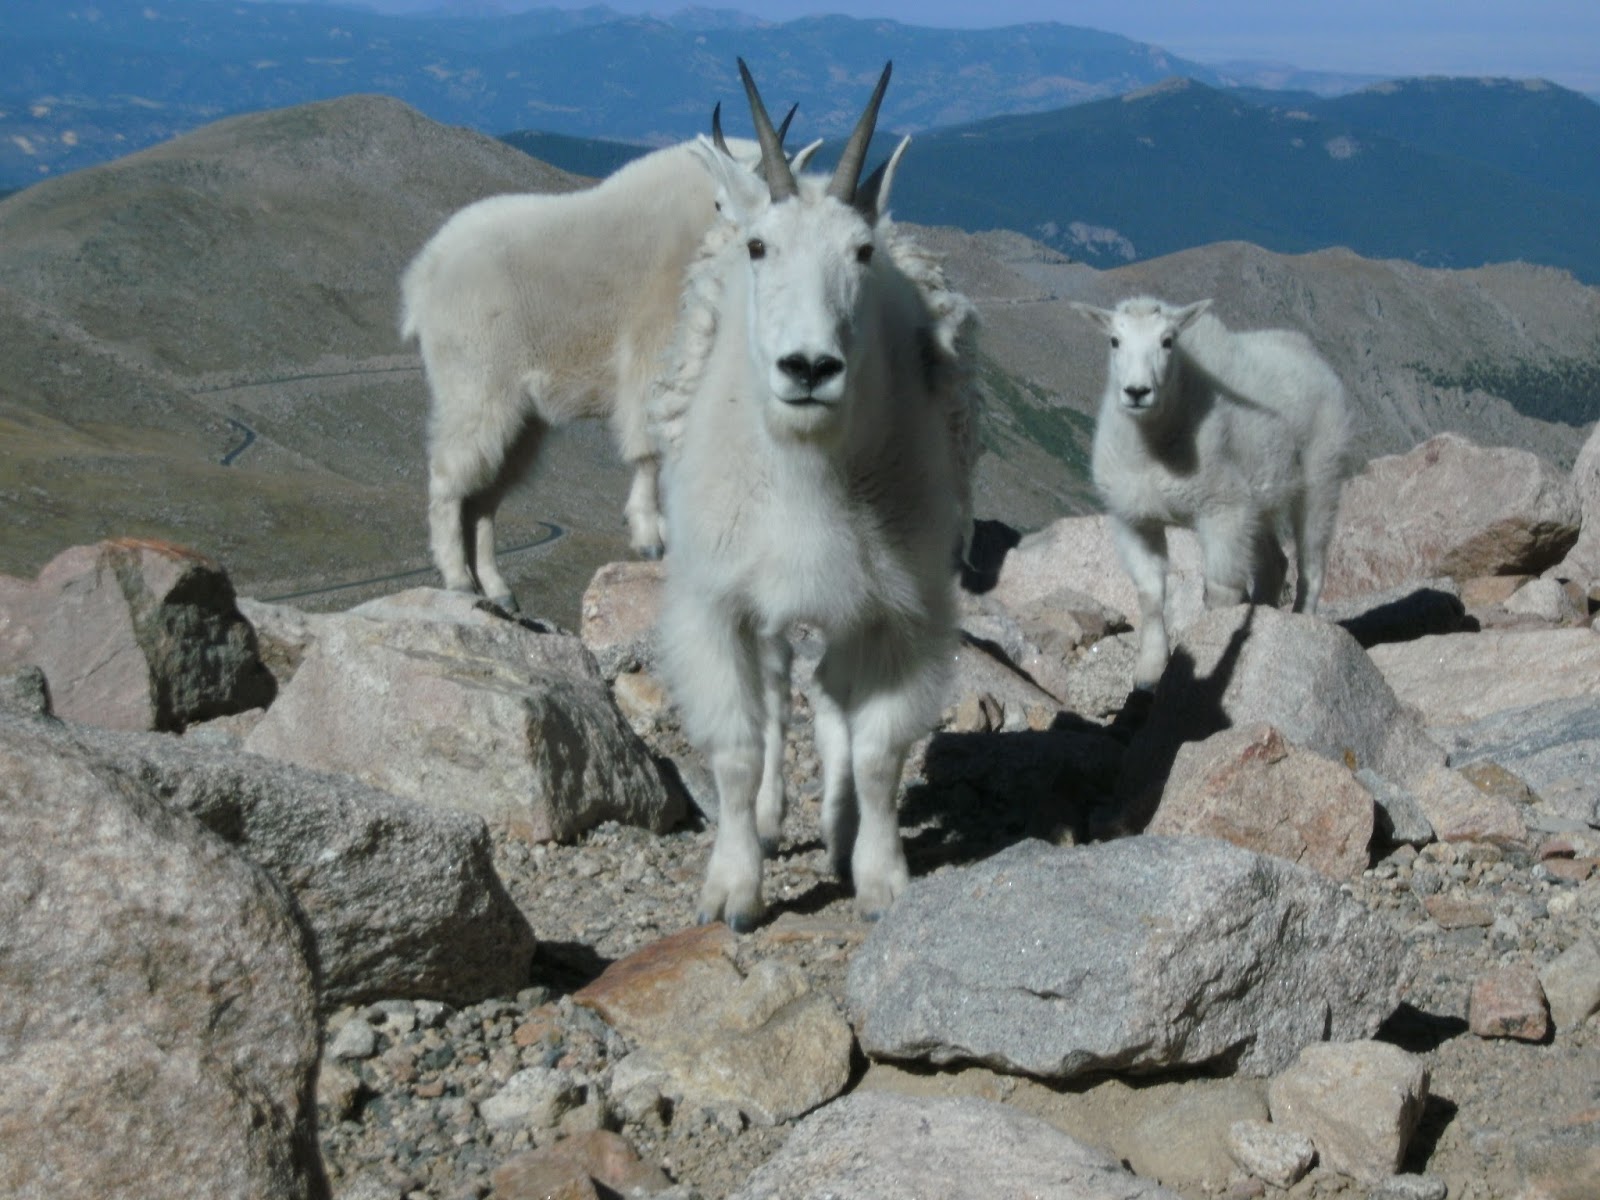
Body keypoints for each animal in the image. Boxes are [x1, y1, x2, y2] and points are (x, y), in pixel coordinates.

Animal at [399, 119, 803, 609]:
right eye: (725, 200)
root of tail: (423, 276)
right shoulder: (653, 357)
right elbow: (649, 450)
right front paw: (651, 538)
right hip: (474, 385)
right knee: (447, 479)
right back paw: (458, 579)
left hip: (521, 417)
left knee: (484, 496)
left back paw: (497, 590)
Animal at [651, 59, 979, 931]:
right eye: (760, 247)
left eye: (861, 252)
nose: (808, 368)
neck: (809, 472)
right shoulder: (718, 601)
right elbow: (736, 747)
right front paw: (733, 889)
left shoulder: (904, 609)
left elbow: (876, 751)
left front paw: (881, 878)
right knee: (778, 693)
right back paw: (775, 821)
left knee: (831, 698)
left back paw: (837, 829)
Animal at [1072, 296, 1351, 691]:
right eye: (1114, 340)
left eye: (1168, 341)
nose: (1137, 392)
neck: (1153, 445)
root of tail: (1312, 355)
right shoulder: (1134, 519)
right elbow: (1150, 593)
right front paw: (1149, 673)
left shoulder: (1222, 511)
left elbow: (1220, 591)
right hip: (1259, 500)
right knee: (1275, 562)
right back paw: (1264, 610)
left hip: (1322, 474)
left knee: (1312, 561)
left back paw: (1302, 620)